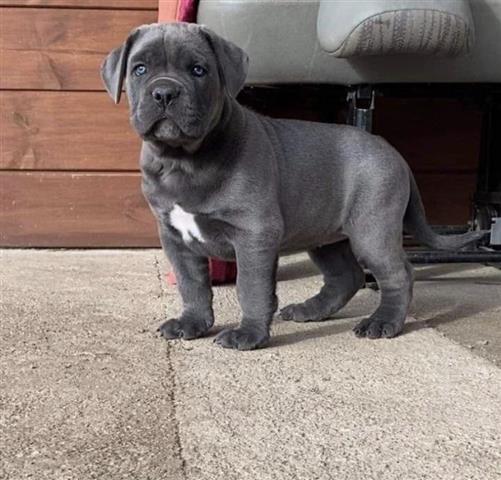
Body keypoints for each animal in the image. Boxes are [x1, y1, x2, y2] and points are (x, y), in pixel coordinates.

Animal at [100, 22, 480, 350]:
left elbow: (251, 287)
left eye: (198, 70)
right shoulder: (175, 237)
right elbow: (192, 285)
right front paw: (191, 324)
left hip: (373, 230)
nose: (164, 92)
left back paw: (383, 322)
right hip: (325, 235)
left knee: (398, 274)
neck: (183, 160)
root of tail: (392, 150)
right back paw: (309, 311)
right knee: (346, 276)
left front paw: (249, 335)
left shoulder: (254, 234)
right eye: (139, 69)